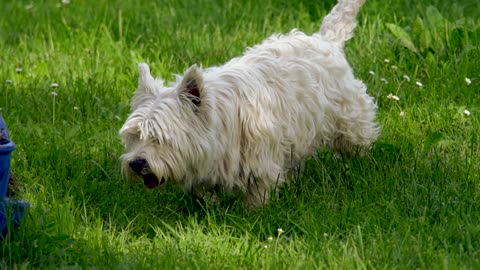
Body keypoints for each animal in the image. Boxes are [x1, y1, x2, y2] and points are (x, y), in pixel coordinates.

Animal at [119, 0, 378, 208]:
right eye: (135, 136)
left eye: (159, 138)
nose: (136, 163)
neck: (220, 121)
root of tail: (324, 40)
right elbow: (203, 193)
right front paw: (210, 208)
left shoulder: (260, 161)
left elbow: (258, 193)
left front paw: (253, 214)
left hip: (348, 118)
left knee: (358, 142)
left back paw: (361, 167)